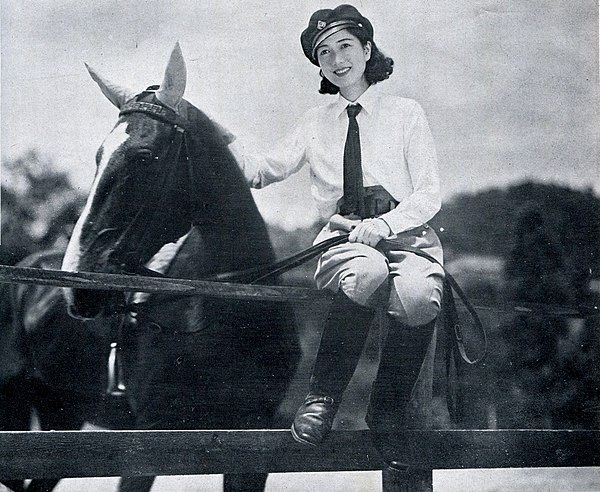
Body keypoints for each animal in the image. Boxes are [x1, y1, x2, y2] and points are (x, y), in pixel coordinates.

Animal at [0, 44, 300, 490]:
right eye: (98, 157)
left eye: (143, 157)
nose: (79, 287)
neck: (230, 303)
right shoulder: (148, 443)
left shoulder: (254, 440)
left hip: (62, 415)